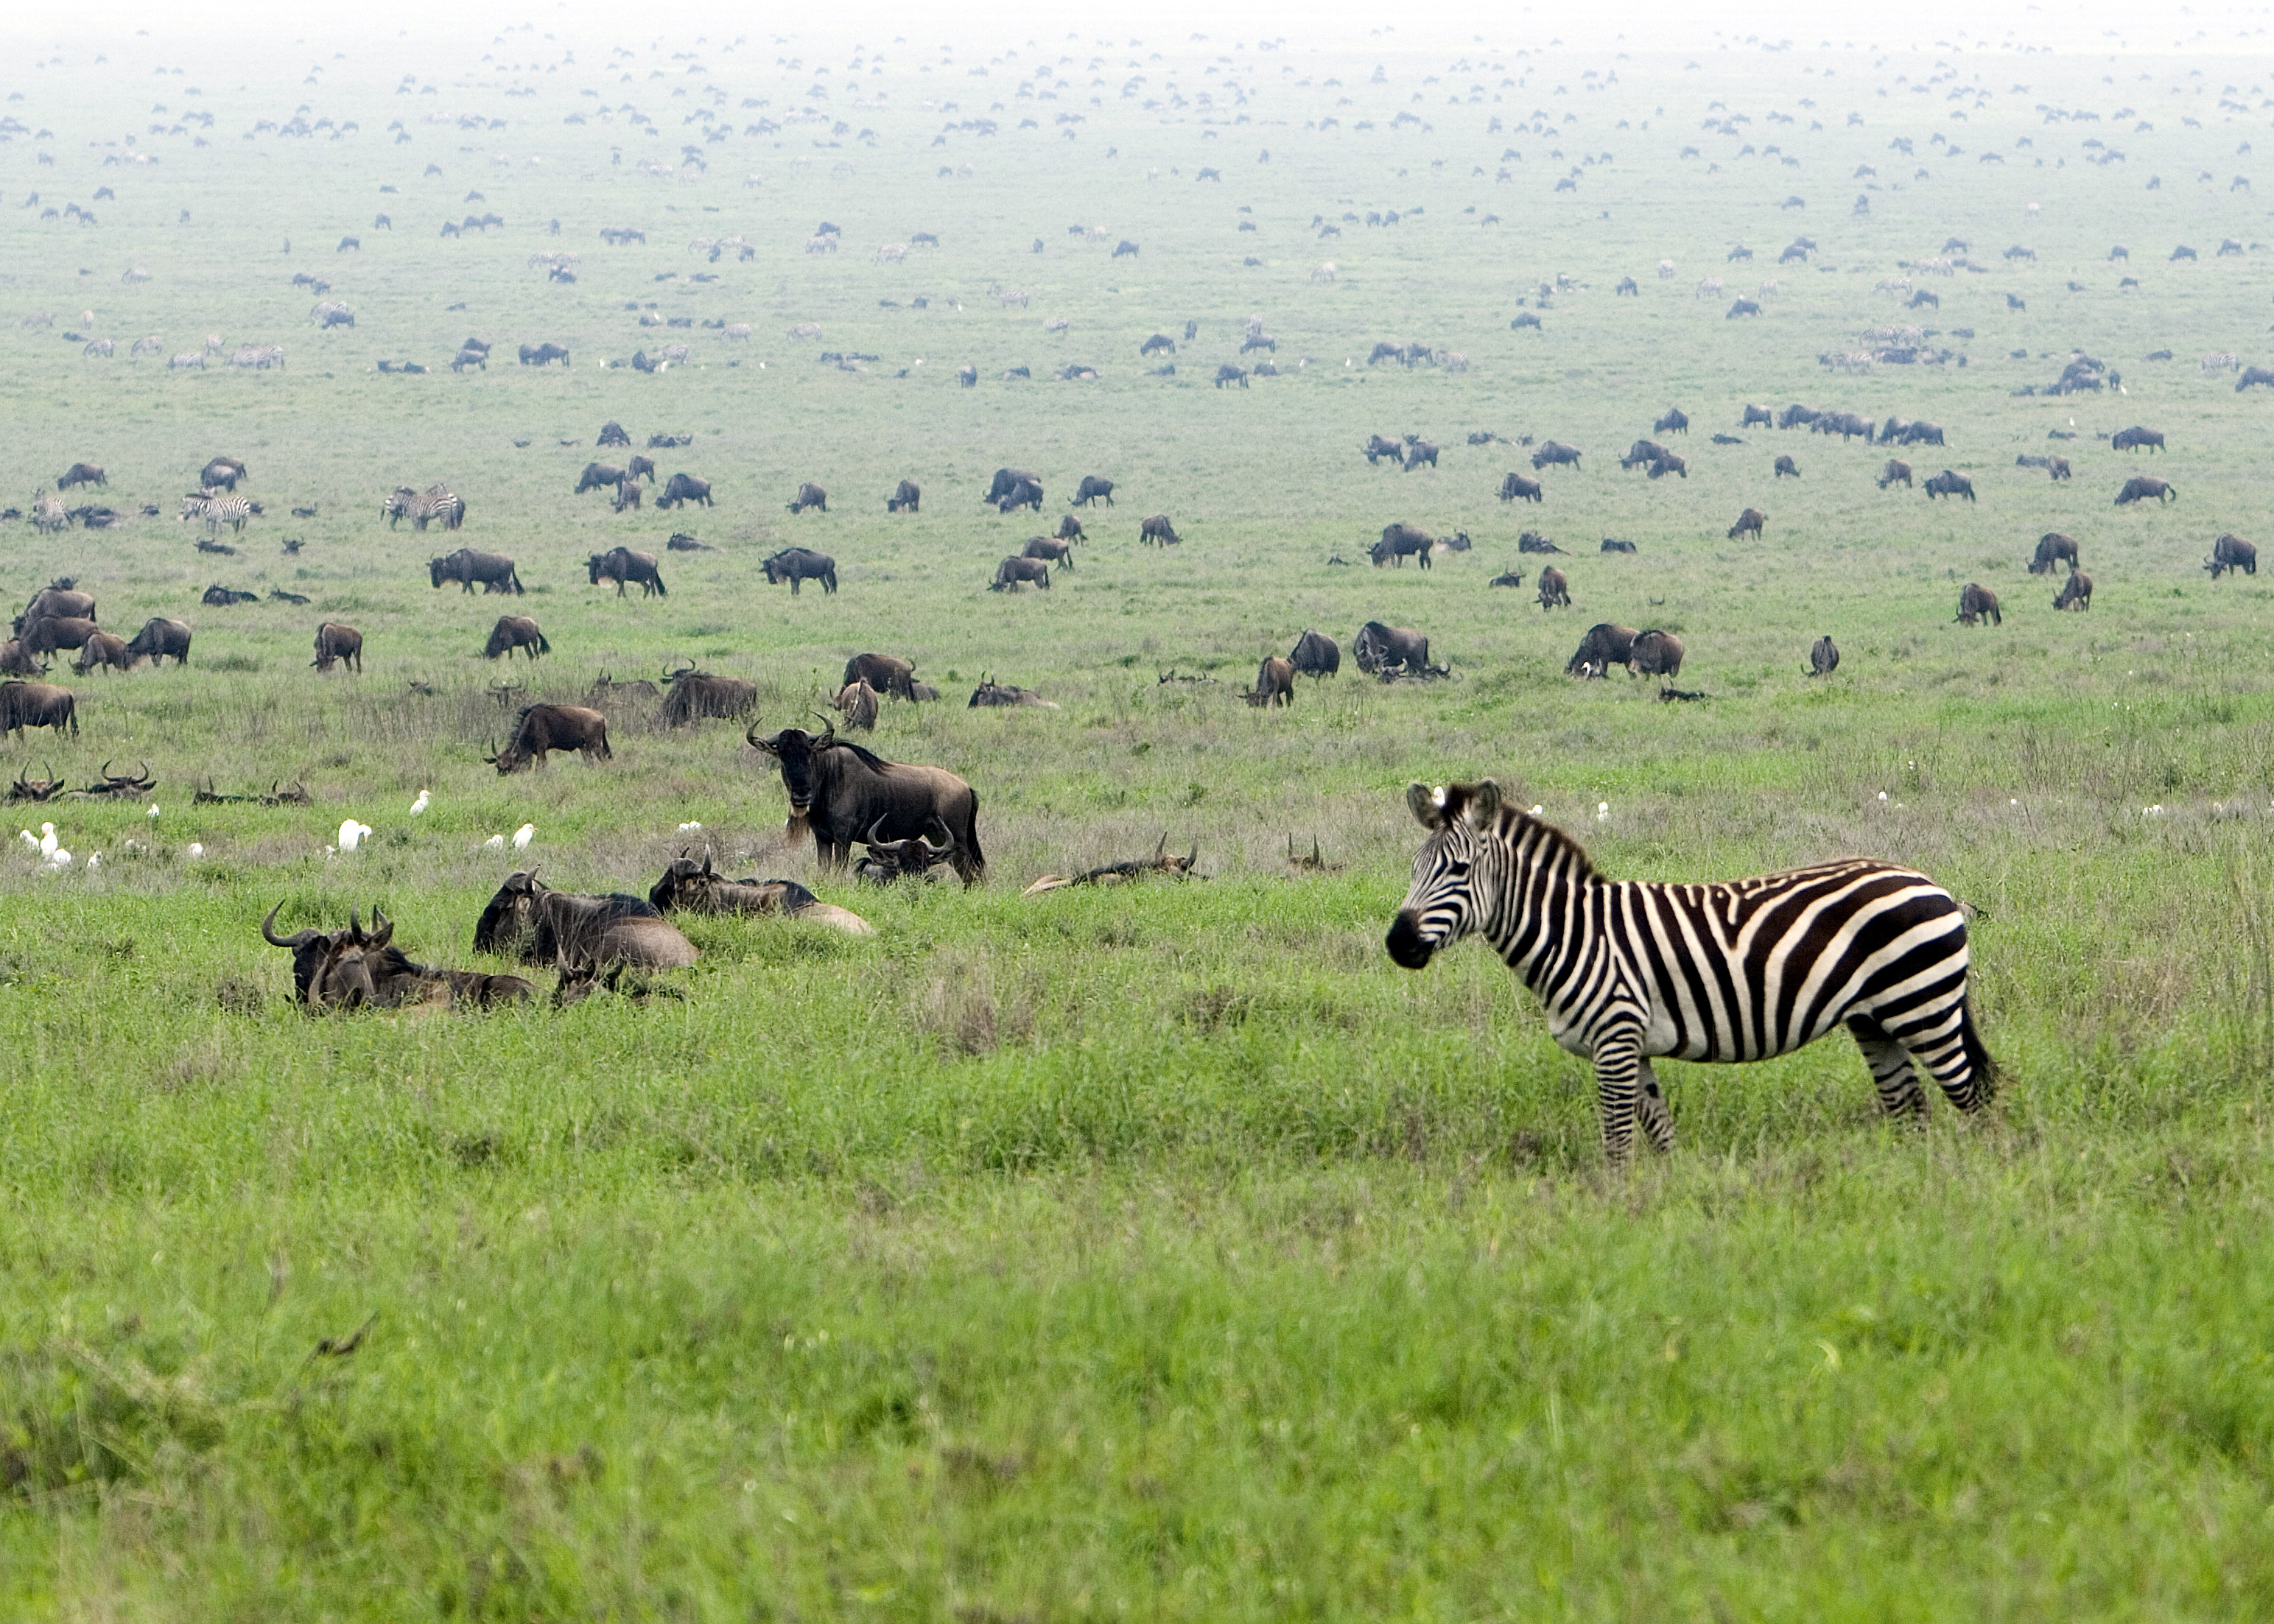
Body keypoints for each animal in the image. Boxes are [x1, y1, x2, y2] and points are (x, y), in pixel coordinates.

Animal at [1382, 778, 1992, 1155]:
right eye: (1412, 868)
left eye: (1459, 870)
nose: (1397, 943)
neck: (1574, 933)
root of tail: (1933, 885)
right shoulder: (1631, 1046)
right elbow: (1659, 1135)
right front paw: (1664, 1202)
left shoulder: (1615, 1037)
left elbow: (1617, 1143)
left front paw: (1614, 1212)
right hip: (1875, 1020)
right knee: (1910, 1108)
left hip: (1923, 1006)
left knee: (1974, 1099)